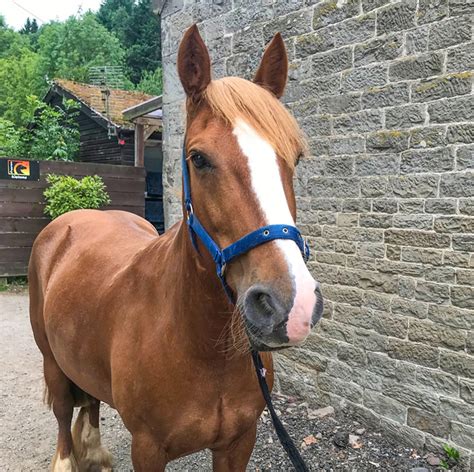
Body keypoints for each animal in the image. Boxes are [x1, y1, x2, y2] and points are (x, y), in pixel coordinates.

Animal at [28, 26, 322, 472]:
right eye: (198, 158)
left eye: (296, 158)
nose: (291, 304)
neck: (203, 347)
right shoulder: (148, 449)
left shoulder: (239, 442)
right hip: (51, 361)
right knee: (64, 414)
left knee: (90, 403)